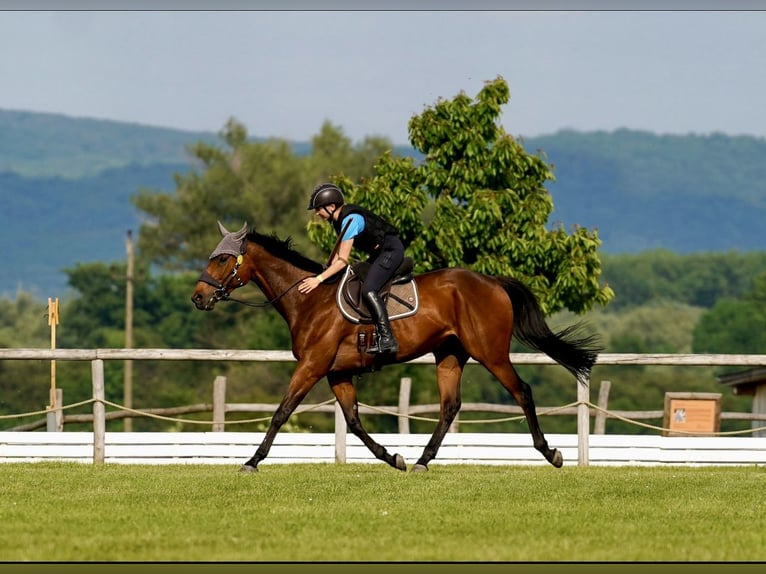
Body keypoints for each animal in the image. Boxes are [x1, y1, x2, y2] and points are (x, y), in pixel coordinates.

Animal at [190, 220, 600, 472]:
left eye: (222, 259)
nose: (198, 298)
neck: (308, 299)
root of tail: (493, 282)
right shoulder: (337, 372)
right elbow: (354, 422)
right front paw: (393, 457)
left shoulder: (313, 365)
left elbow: (281, 412)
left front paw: (252, 461)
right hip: (449, 355)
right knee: (449, 406)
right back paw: (421, 461)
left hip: (491, 353)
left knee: (522, 391)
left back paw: (551, 453)